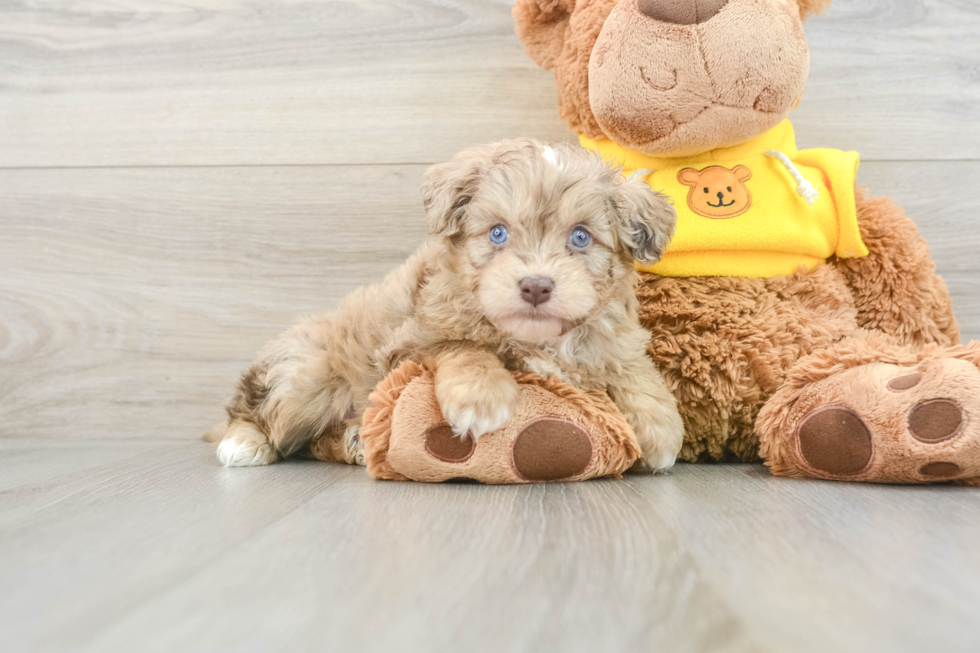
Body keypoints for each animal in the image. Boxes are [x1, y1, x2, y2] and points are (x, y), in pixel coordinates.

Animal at [214, 140, 684, 472]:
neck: (538, 340)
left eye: (581, 237)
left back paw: (355, 441)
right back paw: (243, 443)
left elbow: (633, 366)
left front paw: (660, 428)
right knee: (258, 414)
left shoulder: (612, 335)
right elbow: (464, 347)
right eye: (497, 233)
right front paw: (480, 396)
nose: (535, 287)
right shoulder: (410, 344)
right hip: (305, 378)